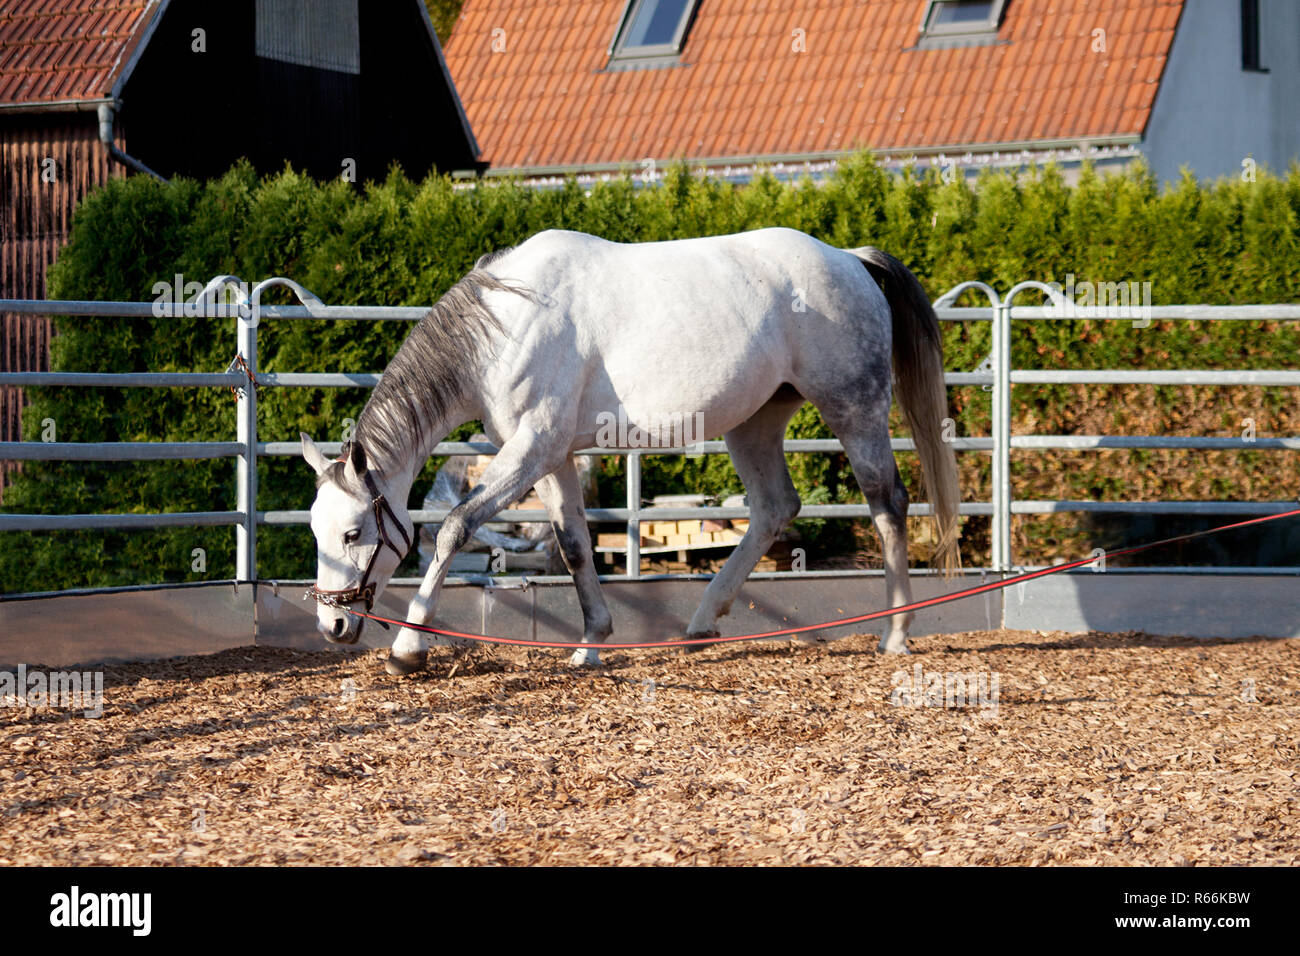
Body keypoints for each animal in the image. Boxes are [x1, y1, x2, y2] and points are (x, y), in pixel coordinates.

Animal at [299, 226, 961, 671]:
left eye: (354, 533)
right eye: (314, 530)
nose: (332, 623)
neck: (505, 326)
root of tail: (851, 261)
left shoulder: (531, 449)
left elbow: (457, 527)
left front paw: (408, 648)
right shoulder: (552, 457)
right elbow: (573, 544)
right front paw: (592, 644)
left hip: (853, 406)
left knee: (888, 502)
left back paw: (896, 634)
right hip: (755, 422)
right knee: (776, 508)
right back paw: (700, 624)